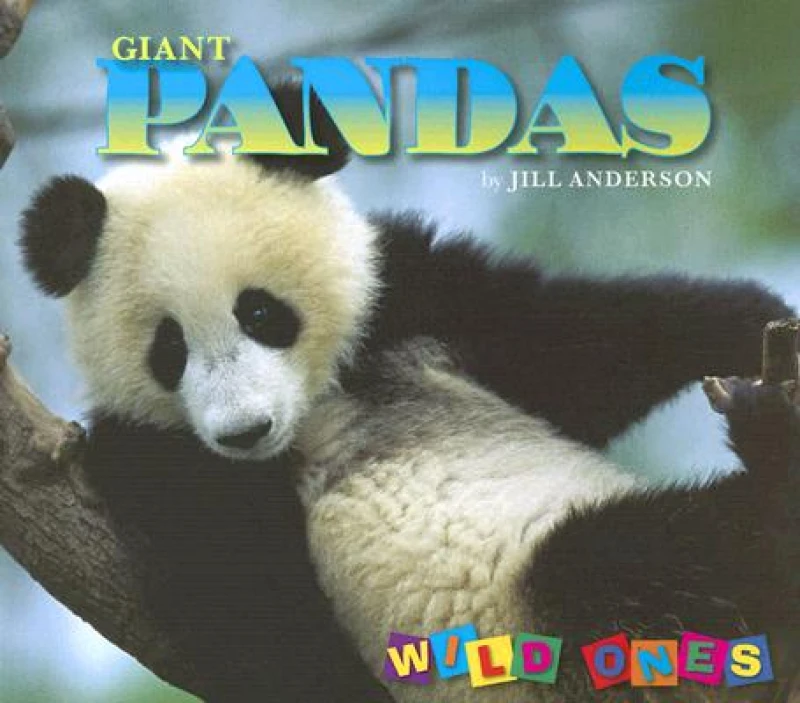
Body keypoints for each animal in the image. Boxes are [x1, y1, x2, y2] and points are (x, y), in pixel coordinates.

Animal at [18, 82, 795, 701]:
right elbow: (256, 620)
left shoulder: (409, 300)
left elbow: (578, 343)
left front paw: (752, 322)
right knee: (655, 558)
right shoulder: (158, 459)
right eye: (170, 349)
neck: (318, 406)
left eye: (260, 312)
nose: (244, 431)